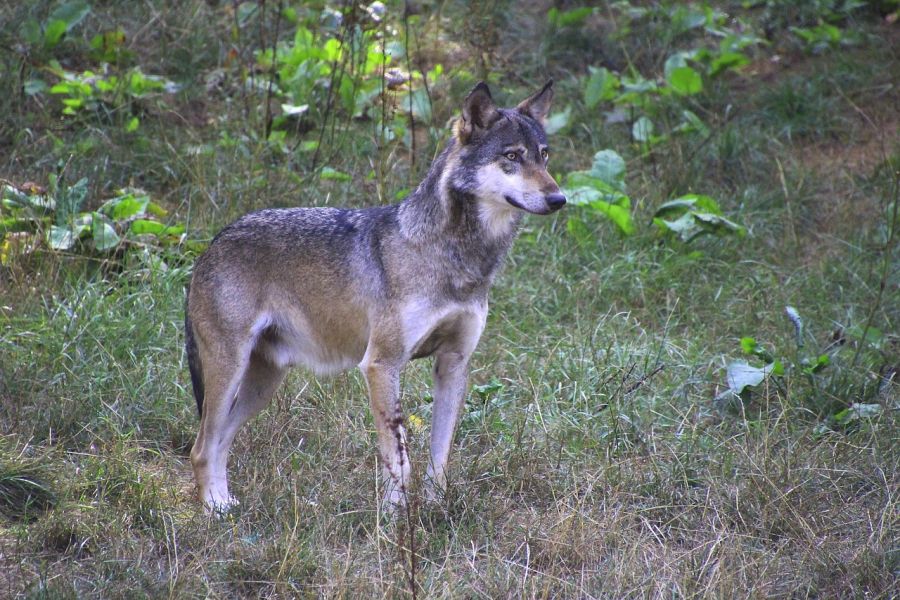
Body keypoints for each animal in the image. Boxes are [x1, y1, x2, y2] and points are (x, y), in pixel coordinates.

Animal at [185, 79, 568, 510]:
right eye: (512, 156)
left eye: (544, 155)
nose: (559, 199)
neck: (456, 256)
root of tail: (212, 243)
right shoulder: (381, 365)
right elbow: (398, 459)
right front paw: (394, 517)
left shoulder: (453, 364)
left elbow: (439, 456)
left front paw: (435, 509)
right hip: (231, 372)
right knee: (201, 448)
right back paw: (214, 511)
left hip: (263, 385)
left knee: (219, 442)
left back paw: (225, 505)